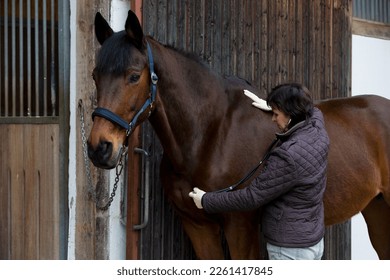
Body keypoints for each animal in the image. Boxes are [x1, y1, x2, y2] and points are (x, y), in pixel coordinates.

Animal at [88, 10, 390, 260]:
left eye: (134, 76)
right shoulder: (198, 225)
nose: (99, 148)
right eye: (94, 75)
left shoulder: (240, 225)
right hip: (376, 209)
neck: (210, 134)